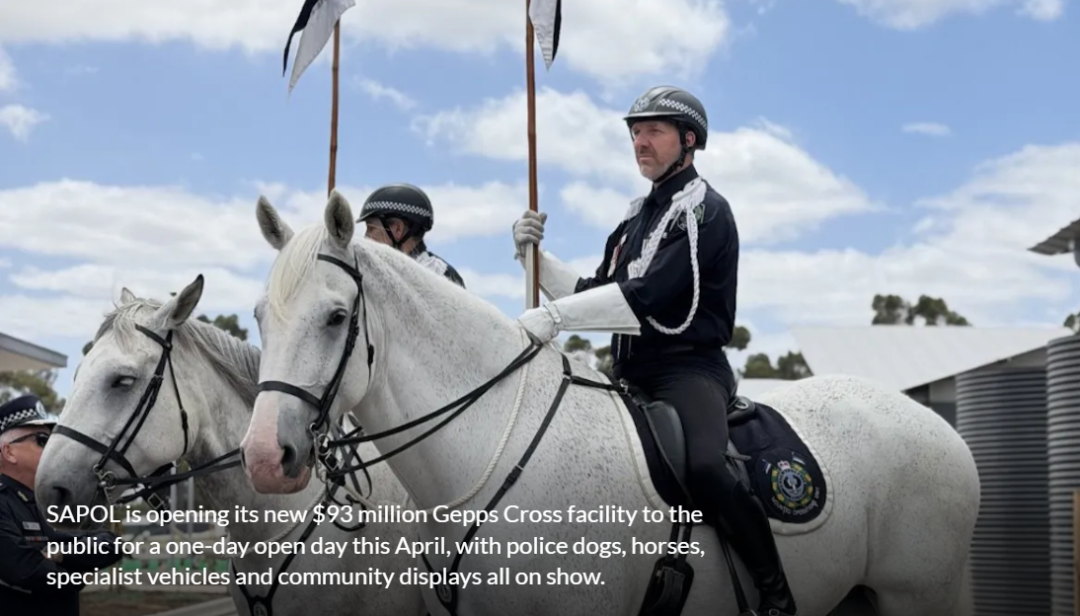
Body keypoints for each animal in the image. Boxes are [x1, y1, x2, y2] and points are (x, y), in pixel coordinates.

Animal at [238, 191, 979, 616]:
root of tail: (936, 424)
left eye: (336, 316)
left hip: (920, 597)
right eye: (259, 317)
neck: (493, 456)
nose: (266, 458)